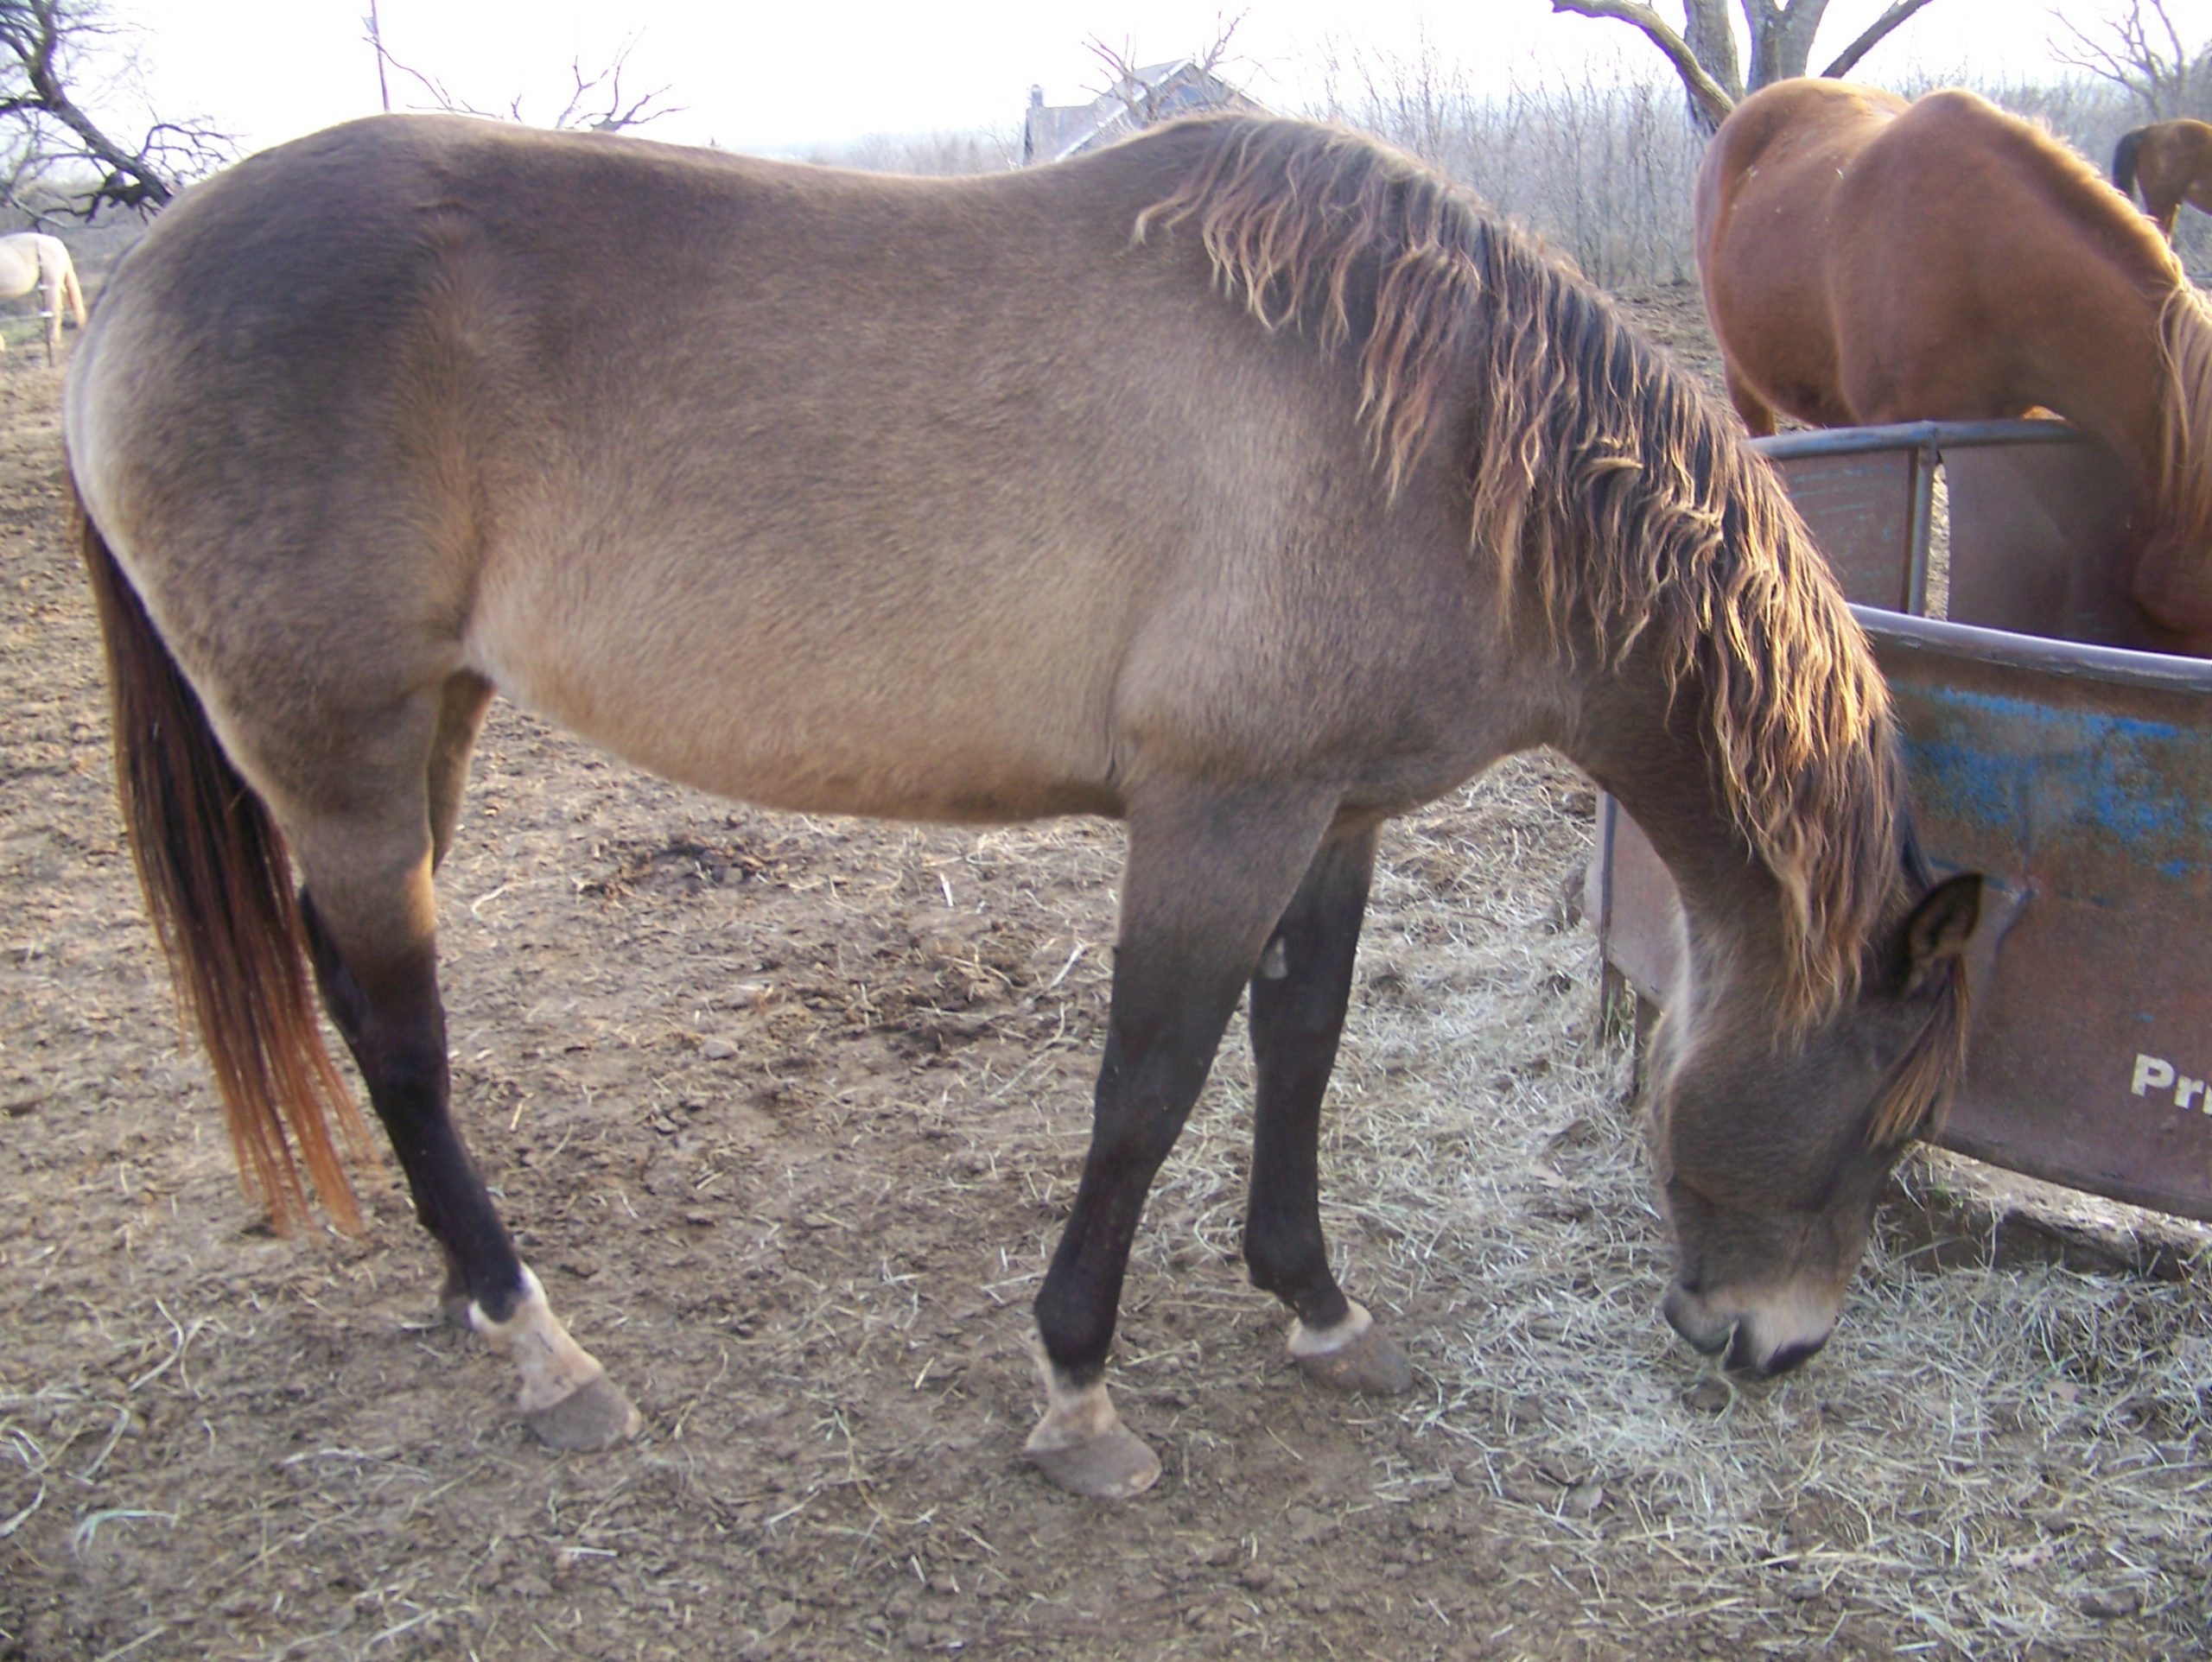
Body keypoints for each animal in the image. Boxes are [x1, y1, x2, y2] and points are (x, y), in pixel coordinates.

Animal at [67, 112, 1980, 1499]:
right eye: (1884, 1120)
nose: (1772, 1343)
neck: (1426, 429)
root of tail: (144, 274)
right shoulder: (1219, 811)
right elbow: (1148, 1085)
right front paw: (1077, 1388)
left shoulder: (1333, 811)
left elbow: (1300, 1049)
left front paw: (1316, 1302)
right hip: (341, 748)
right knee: (400, 1033)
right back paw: (544, 1347)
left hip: (418, 739)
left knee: (350, 996)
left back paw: (467, 1295)